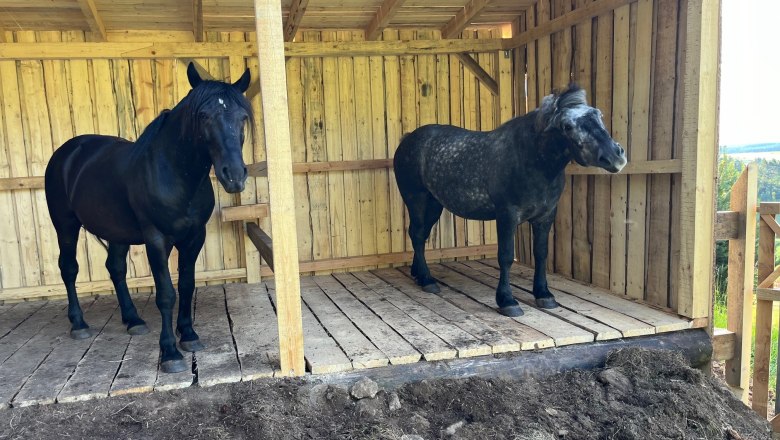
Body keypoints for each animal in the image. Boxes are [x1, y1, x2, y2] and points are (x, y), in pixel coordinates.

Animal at [45, 63, 252, 373]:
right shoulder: (156, 240)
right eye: (203, 115)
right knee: (68, 268)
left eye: (243, 117)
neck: (176, 175)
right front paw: (170, 353)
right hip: (65, 225)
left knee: (115, 268)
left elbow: (187, 286)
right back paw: (79, 324)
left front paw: (188, 335)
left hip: (115, 231)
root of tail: (66, 152)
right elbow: (166, 293)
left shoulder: (194, 237)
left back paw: (133, 320)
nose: (234, 176)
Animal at [393, 84, 627, 317]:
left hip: (434, 204)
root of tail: (407, 139)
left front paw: (544, 294)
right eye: (567, 126)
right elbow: (505, 256)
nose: (615, 156)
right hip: (416, 199)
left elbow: (541, 254)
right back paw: (427, 280)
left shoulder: (545, 216)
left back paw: (418, 274)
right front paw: (507, 300)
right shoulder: (507, 215)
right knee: (417, 234)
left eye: (599, 115)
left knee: (420, 235)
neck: (532, 160)